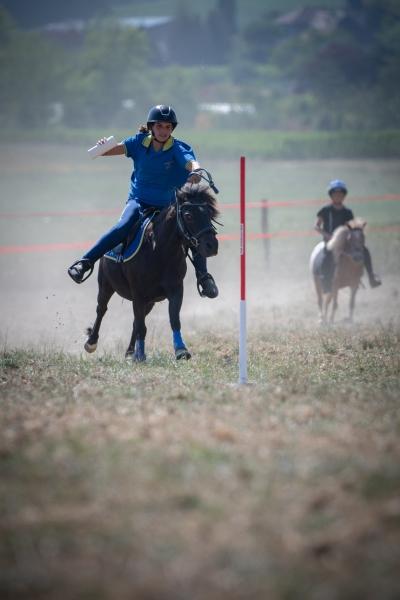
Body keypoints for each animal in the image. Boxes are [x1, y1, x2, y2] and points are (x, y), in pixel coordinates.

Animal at [84, 173, 219, 360]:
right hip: (106, 285)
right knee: (102, 309)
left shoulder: (175, 290)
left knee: (135, 321)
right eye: (188, 215)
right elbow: (141, 326)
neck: (159, 251)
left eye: (209, 212)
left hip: (150, 301)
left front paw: (181, 350)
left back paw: (130, 353)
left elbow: (173, 319)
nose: (212, 246)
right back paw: (92, 342)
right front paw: (141, 355)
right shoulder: (138, 293)